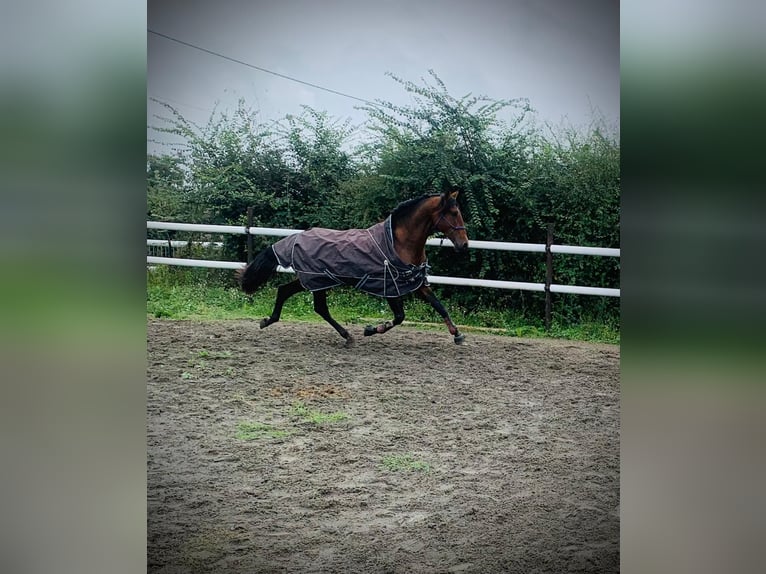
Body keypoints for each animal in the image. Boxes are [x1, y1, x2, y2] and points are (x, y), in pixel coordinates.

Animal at [237, 191, 472, 348]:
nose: (464, 244)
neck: (398, 243)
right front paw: (371, 330)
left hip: (313, 280)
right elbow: (399, 317)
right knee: (318, 307)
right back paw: (347, 336)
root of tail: (294, 238)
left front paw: (457, 334)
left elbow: (439, 306)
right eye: (453, 212)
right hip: (318, 280)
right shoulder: (390, 287)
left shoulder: (415, 283)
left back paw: (268, 320)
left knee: (285, 291)